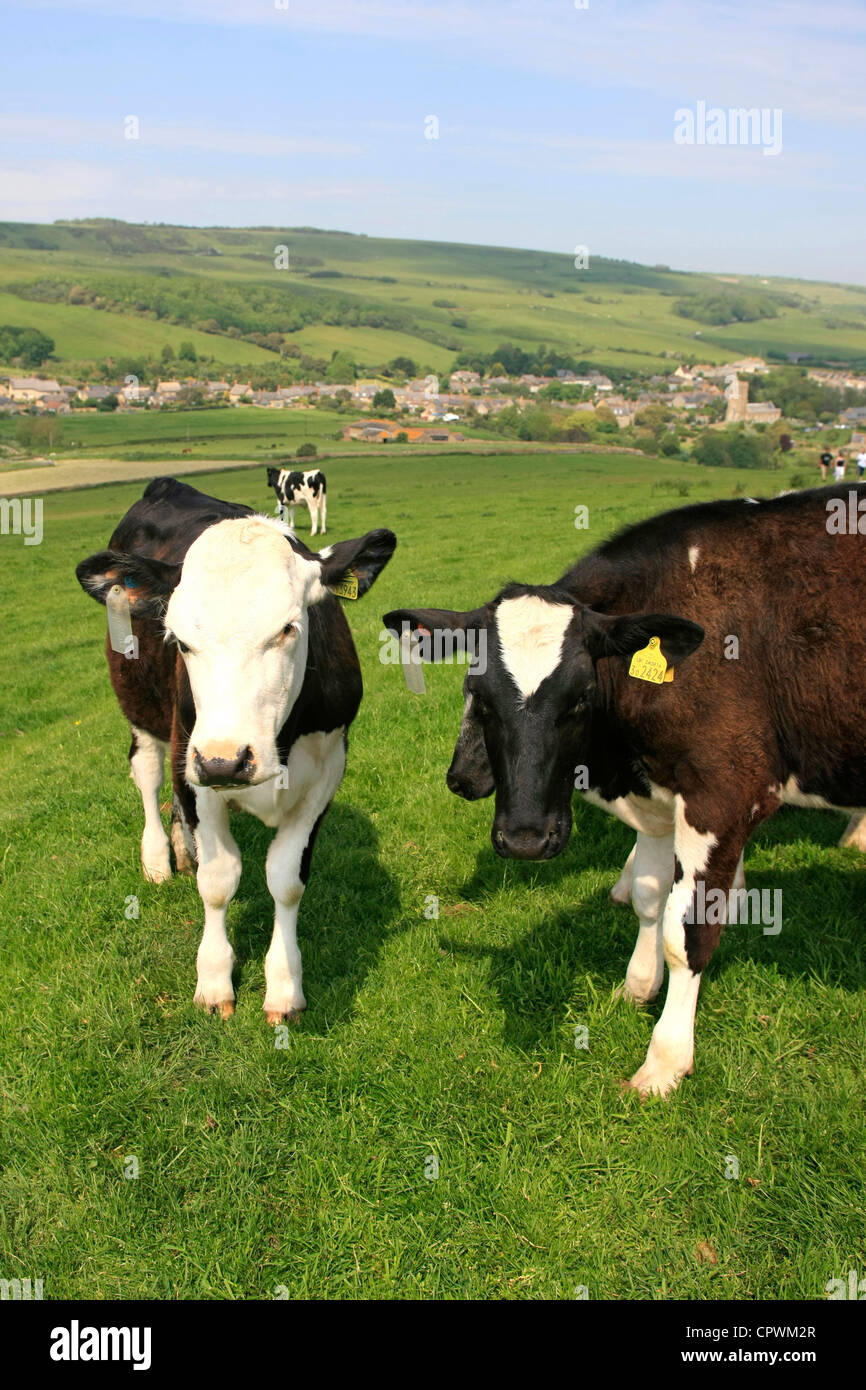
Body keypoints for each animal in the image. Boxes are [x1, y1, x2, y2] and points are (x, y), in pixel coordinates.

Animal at [76, 476, 395, 1021]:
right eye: (179, 640)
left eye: (288, 628)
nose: (226, 760)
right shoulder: (194, 763)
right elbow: (219, 879)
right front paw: (214, 981)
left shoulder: (328, 768)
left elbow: (285, 878)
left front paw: (285, 987)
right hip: (144, 711)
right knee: (147, 774)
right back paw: (159, 858)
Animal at [383, 485, 866, 1097]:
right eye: (481, 696)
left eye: (581, 698)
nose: (524, 839)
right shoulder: (660, 802)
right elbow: (649, 897)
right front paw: (637, 986)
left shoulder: (723, 794)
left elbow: (688, 933)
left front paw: (665, 1059)